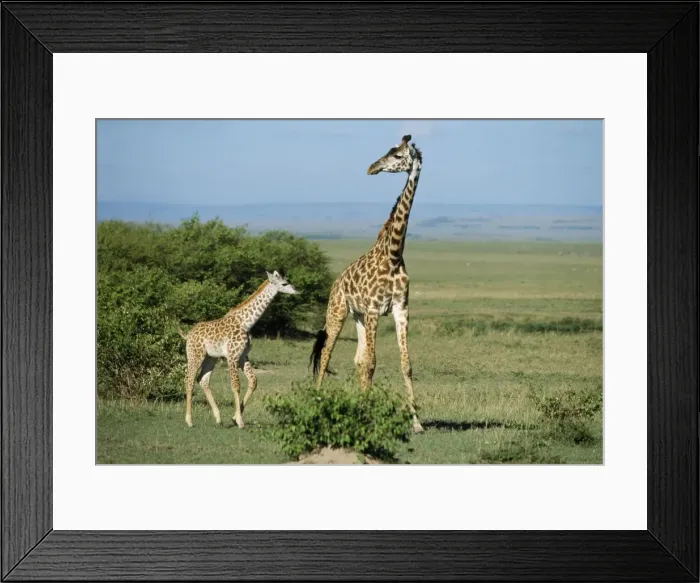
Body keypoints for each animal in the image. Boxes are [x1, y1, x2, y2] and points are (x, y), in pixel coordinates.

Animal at [179, 270, 297, 429]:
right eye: (284, 283)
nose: (296, 290)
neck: (246, 323)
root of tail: (188, 334)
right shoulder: (232, 355)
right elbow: (236, 385)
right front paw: (240, 421)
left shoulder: (243, 356)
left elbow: (253, 381)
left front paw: (235, 417)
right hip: (195, 355)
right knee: (189, 380)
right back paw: (189, 420)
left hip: (211, 358)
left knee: (203, 380)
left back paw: (218, 418)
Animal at [309, 134, 425, 433]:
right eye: (389, 150)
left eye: (398, 156)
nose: (372, 167)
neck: (393, 255)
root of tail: (336, 283)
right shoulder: (374, 309)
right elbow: (372, 363)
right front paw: (370, 417)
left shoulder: (400, 309)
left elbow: (405, 364)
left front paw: (417, 422)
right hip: (337, 312)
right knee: (326, 355)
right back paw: (317, 400)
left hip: (358, 316)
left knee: (358, 360)